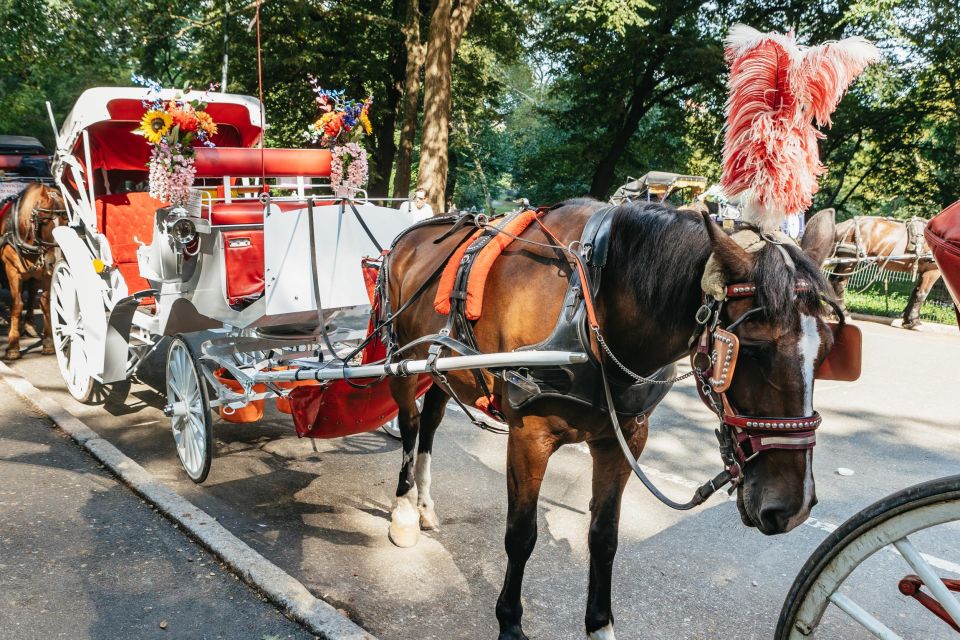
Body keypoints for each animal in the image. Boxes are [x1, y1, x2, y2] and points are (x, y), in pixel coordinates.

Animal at [0, 182, 65, 360]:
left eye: (66, 220)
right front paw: (13, 347)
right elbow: (16, 305)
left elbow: (45, 304)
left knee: (32, 292)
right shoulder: (11, 269)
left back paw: (29, 326)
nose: (56, 260)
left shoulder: (45, 273)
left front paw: (48, 343)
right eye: (44, 220)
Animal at [382, 201, 840, 640]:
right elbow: (521, 534)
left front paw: (599, 624)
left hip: (445, 368)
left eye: (829, 348)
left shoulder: (625, 439)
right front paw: (510, 623)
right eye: (753, 347)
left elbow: (604, 536)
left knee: (432, 419)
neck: (593, 304)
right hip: (401, 357)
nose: (793, 507)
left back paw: (424, 505)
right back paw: (404, 510)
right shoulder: (529, 436)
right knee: (410, 423)